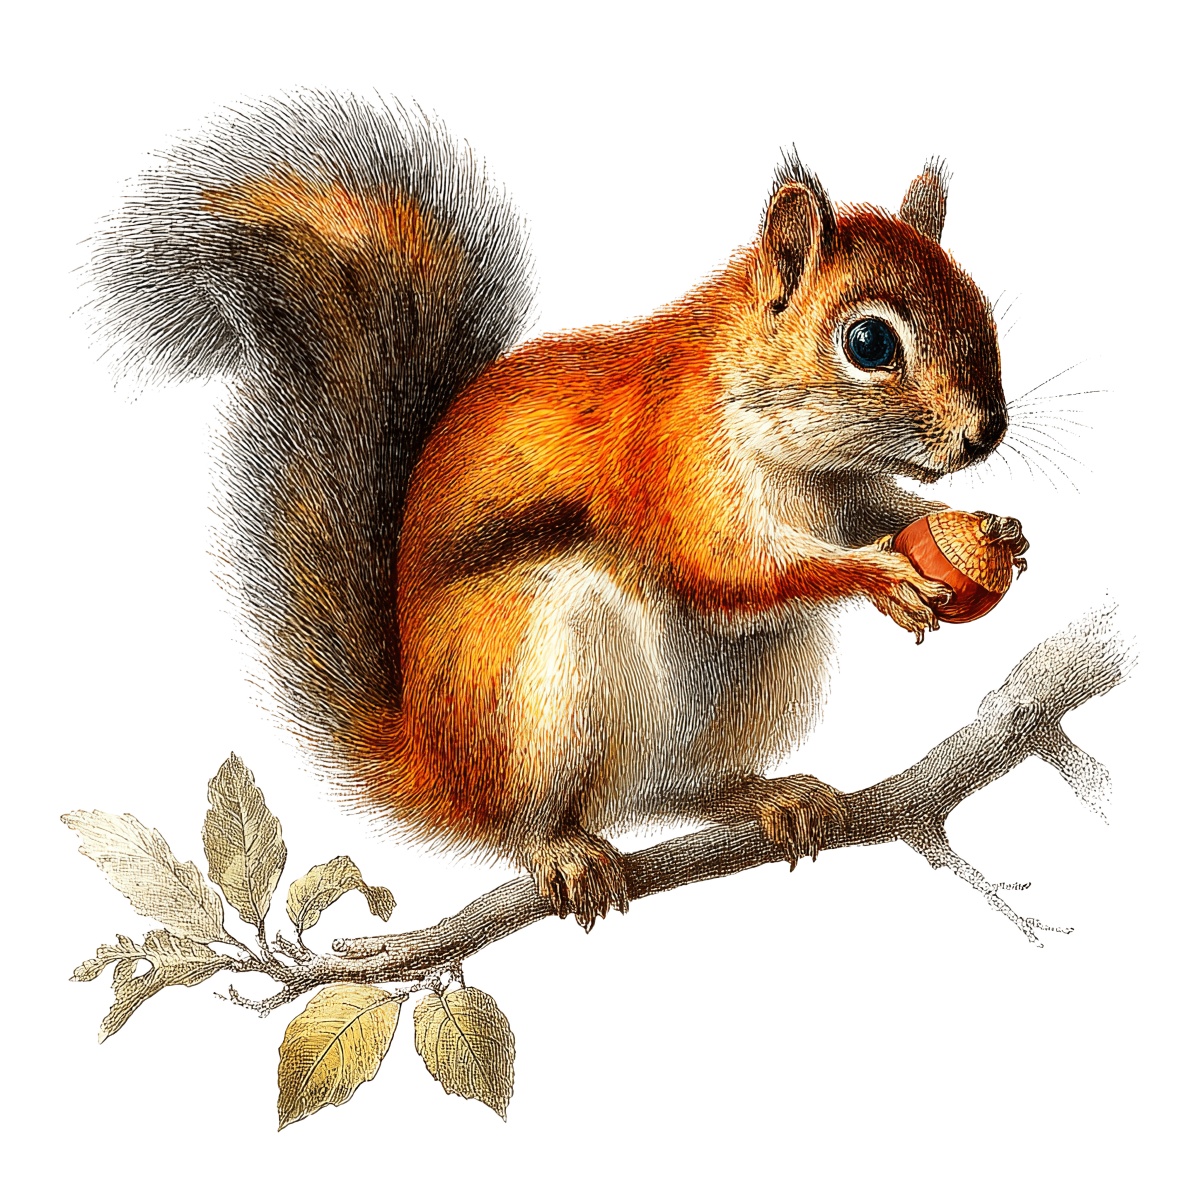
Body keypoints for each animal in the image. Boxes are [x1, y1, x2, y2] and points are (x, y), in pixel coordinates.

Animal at [93, 91, 1027, 929]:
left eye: (981, 304)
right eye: (869, 343)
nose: (986, 431)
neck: (799, 456)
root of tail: (433, 759)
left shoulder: (846, 490)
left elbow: (884, 505)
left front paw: (996, 535)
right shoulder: (670, 465)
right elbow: (728, 569)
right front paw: (879, 576)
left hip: (750, 690)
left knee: (670, 792)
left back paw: (766, 797)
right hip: (539, 671)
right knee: (527, 820)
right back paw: (563, 849)